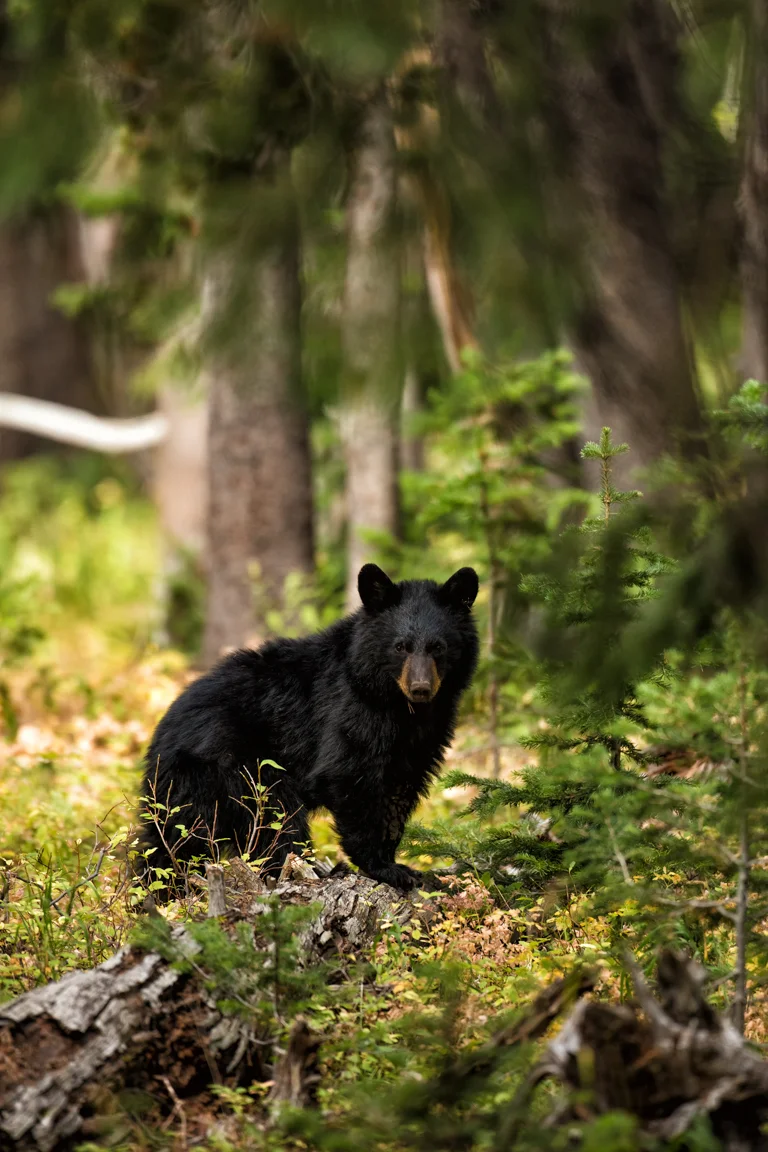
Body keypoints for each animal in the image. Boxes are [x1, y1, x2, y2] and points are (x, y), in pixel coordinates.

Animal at [139, 563, 479, 892]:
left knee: (168, 841)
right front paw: (386, 868)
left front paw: (401, 865)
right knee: (275, 821)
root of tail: (158, 741)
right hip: (238, 769)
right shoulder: (351, 708)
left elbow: (399, 789)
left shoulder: (423, 733)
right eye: (400, 647)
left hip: (183, 792)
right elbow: (347, 774)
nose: (421, 688)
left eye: (437, 647)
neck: (398, 705)